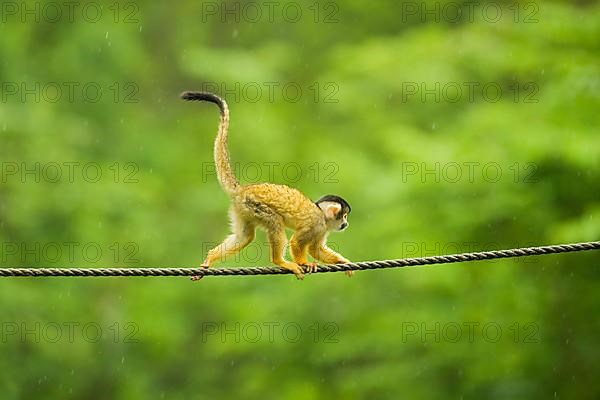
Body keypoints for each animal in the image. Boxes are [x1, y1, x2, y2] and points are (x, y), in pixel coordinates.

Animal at [180, 91, 354, 280]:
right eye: (344, 216)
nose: (346, 224)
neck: (322, 215)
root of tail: (243, 189)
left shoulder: (322, 230)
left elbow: (317, 250)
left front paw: (343, 262)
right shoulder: (316, 225)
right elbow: (296, 242)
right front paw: (304, 262)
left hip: (243, 209)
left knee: (245, 237)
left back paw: (210, 257)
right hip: (255, 205)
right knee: (275, 222)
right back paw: (280, 261)